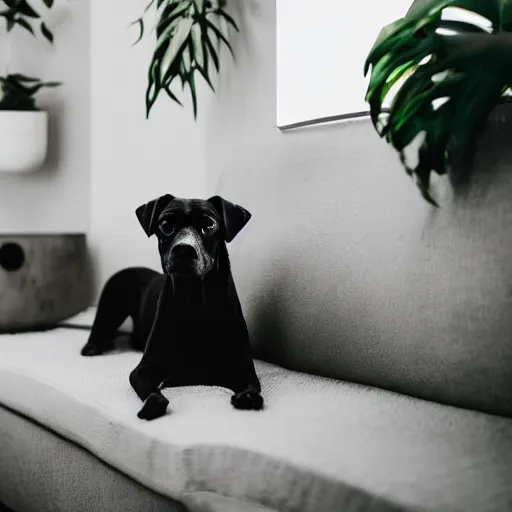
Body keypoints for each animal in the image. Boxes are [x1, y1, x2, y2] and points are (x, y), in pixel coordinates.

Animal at [81, 195, 264, 420]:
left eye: (209, 225)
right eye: (166, 225)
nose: (184, 249)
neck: (194, 301)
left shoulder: (245, 369)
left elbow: (252, 388)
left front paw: (247, 398)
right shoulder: (142, 370)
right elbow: (156, 396)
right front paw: (153, 404)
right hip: (111, 304)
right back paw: (95, 346)